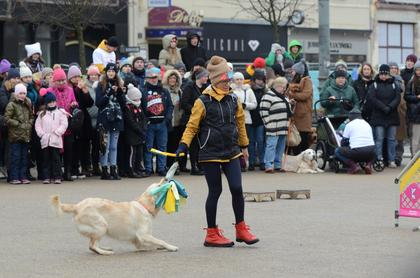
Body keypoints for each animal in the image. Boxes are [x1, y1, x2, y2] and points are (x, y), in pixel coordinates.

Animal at [50, 179, 178, 255]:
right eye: (159, 185)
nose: (166, 179)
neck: (144, 206)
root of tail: (77, 206)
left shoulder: (139, 240)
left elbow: (151, 244)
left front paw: (160, 248)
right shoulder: (143, 235)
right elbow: (160, 241)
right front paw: (171, 247)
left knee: (92, 245)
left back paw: (105, 249)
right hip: (102, 225)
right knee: (93, 245)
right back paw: (105, 252)